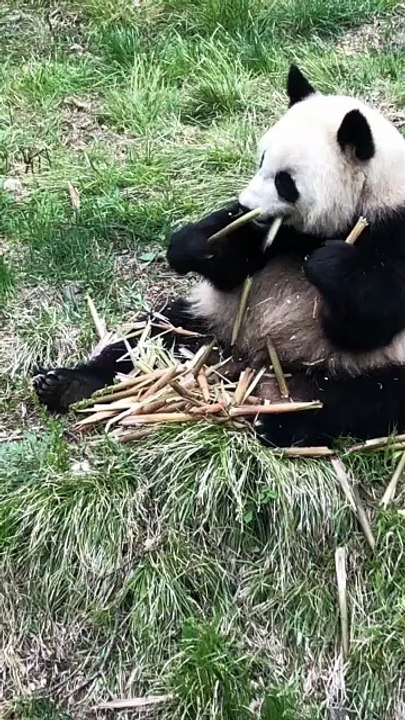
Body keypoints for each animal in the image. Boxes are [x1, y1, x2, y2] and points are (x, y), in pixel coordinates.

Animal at [34, 65, 405, 447]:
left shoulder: (394, 229)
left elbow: (369, 319)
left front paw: (326, 263)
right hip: (207, 320)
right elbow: (232, 264)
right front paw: (193, 245)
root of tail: (251, 359)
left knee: (370, 399)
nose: (246, 204)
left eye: (285, 182)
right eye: (261, 160)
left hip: (365, 367)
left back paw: (280, 422)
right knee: (147, 336)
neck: (368, 195)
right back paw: (65, 385)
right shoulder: (275, 235)